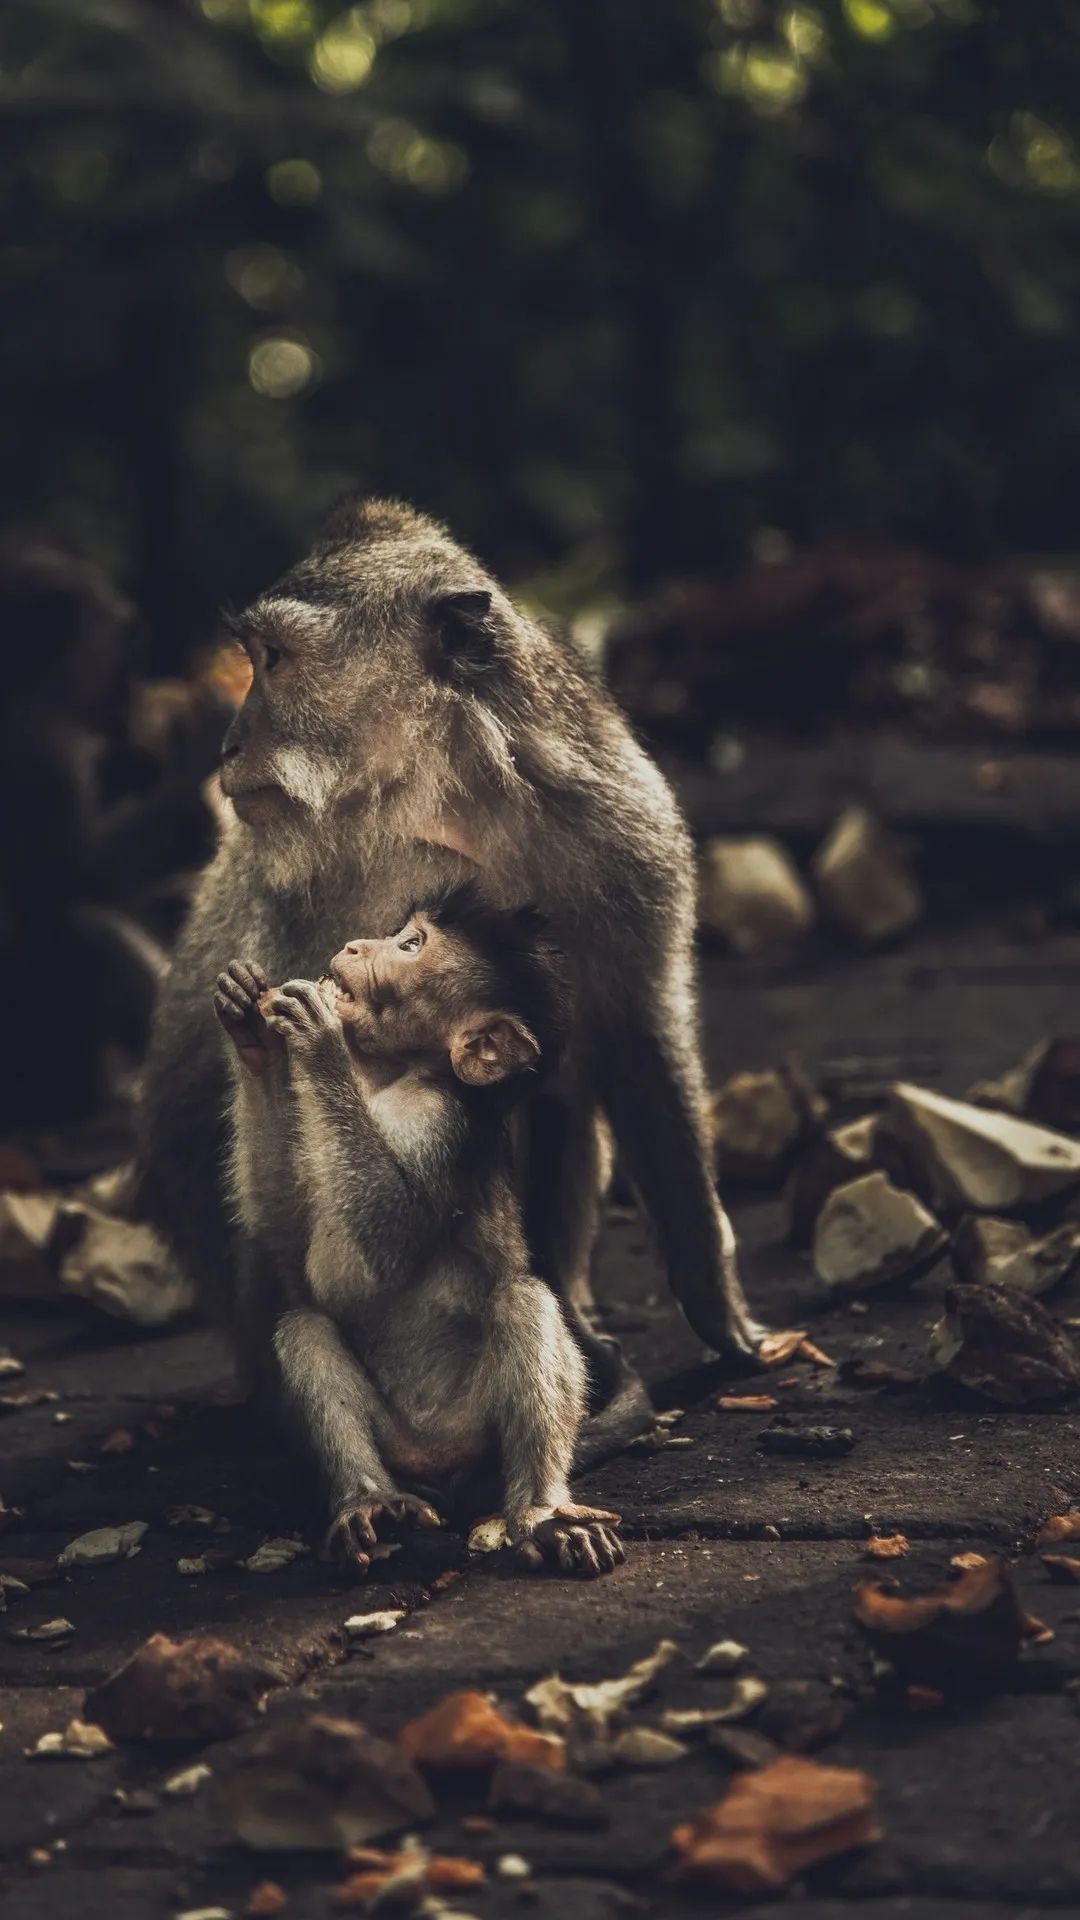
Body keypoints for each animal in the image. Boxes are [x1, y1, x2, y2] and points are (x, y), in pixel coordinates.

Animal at [137, 497, 766, 1423]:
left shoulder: (624, 830)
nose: (227, 744)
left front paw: (720, 1310)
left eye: (275, 661)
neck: (455, 801)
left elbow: (636, 1028)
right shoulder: (309, 896)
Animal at [212, 883, 624, 1578]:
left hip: (476, 1435)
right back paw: (369, 1500)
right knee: (303, 1329)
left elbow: (367, 1260)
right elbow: (290, 1238)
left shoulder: (440, 1125)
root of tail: (442, 1469)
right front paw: (252, 1027)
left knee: (523, 1302)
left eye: (410, 946)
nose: (355, 945)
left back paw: (540, 1512)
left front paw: (317, 1039)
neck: (394, 1077)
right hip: (398, 1446)